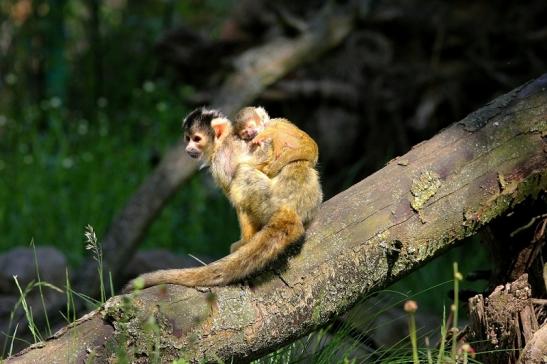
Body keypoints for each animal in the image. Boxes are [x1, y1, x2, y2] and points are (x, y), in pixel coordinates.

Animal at [126, 107, 324, 290]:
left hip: (268, 202)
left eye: (196, 139)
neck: (224, 141)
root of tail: (287, 209)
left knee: (241, 176)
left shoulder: (221, 160)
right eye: (187, 138)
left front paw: (245, 241)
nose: (188, 148)